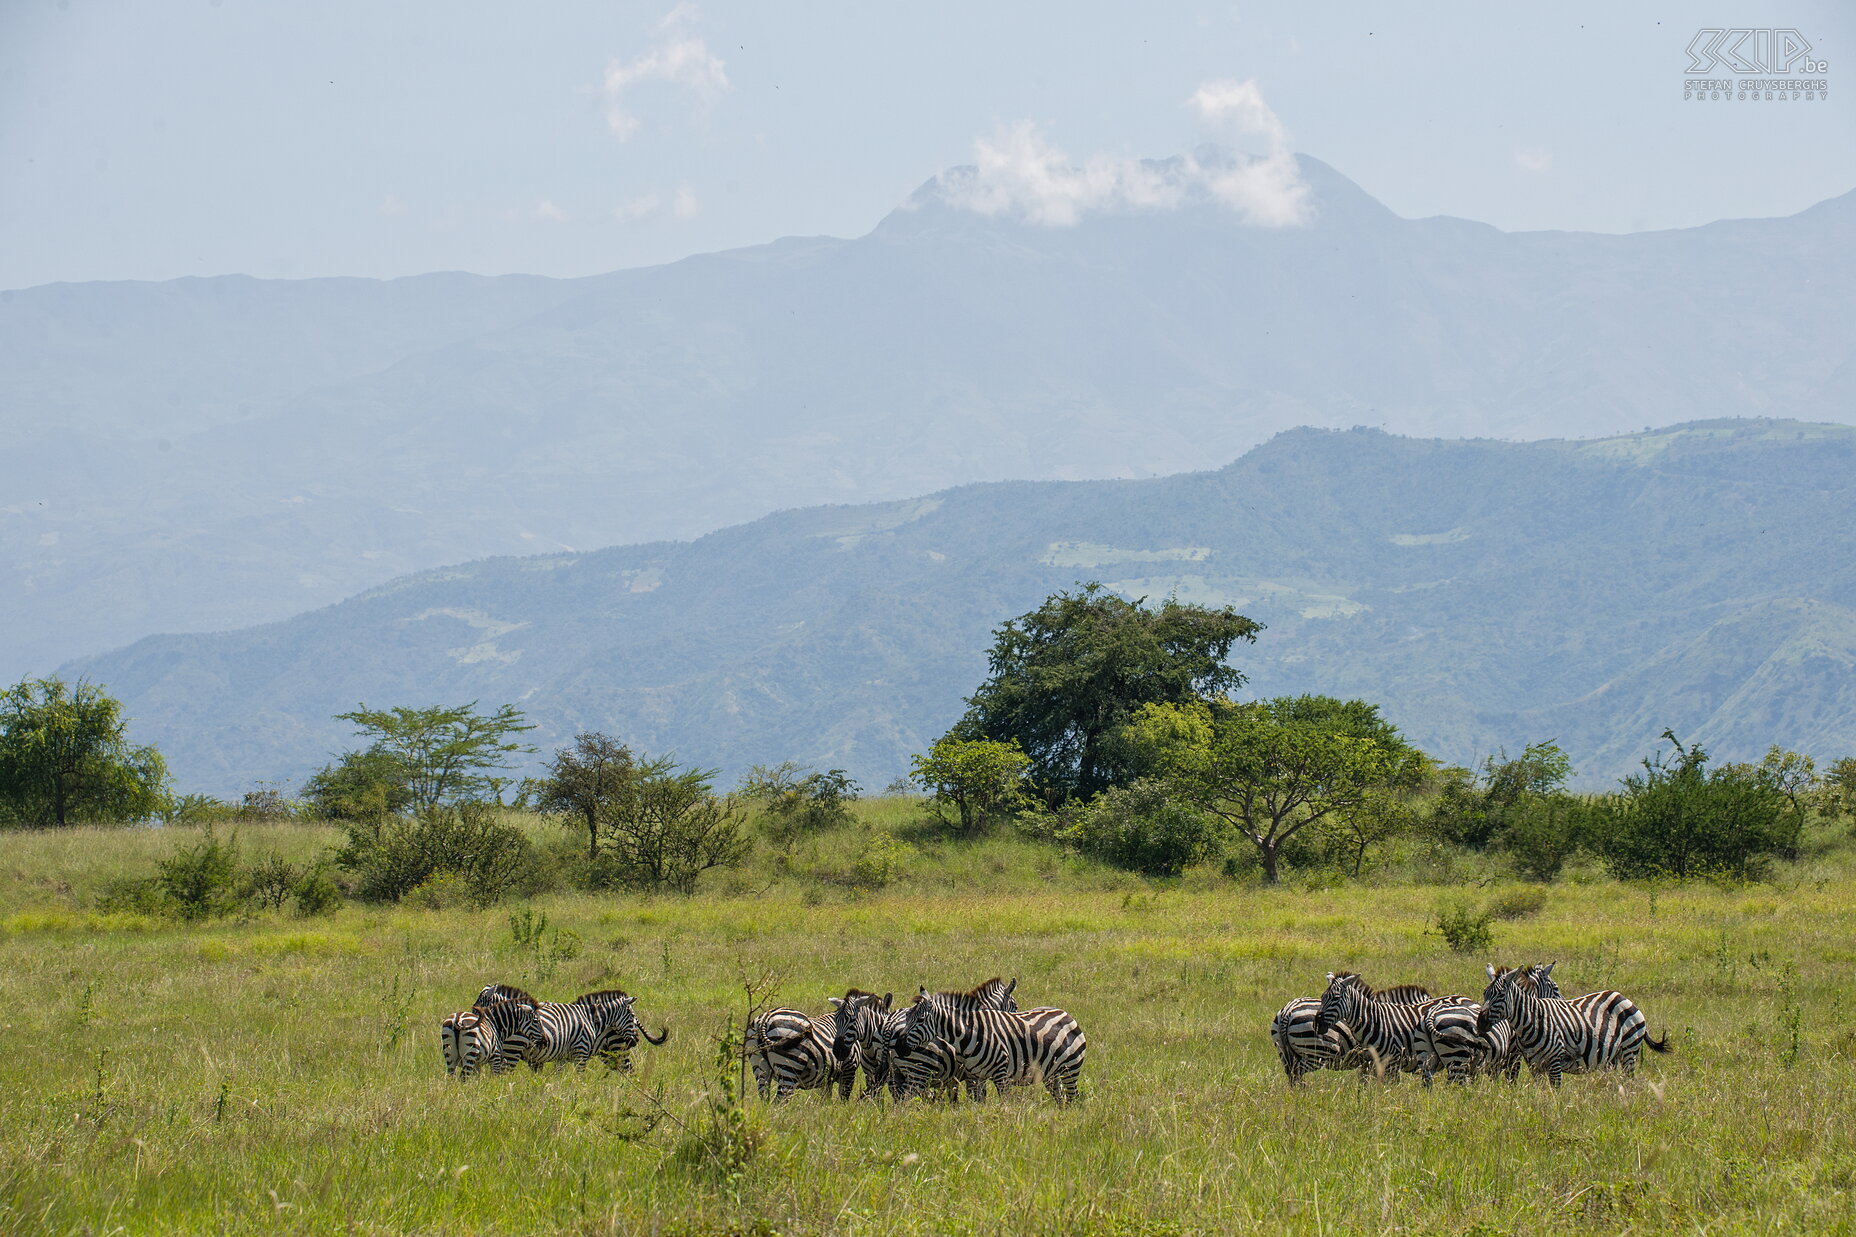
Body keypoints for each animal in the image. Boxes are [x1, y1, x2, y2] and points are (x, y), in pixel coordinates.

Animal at [890, 980, 1083, 1099]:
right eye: (1015, 1006)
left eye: (920, 1020)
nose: (900, 1046)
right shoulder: (972, 1076)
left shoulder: (974, 1077)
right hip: (916, 1072)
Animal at [1484, 958, 1677, 1084]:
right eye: (1556, 988)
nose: (1563, 1001)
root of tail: (1624, 997)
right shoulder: (1525, 1058)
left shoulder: (1517, 1055)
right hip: (1612, 1056)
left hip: (1629, 1048)